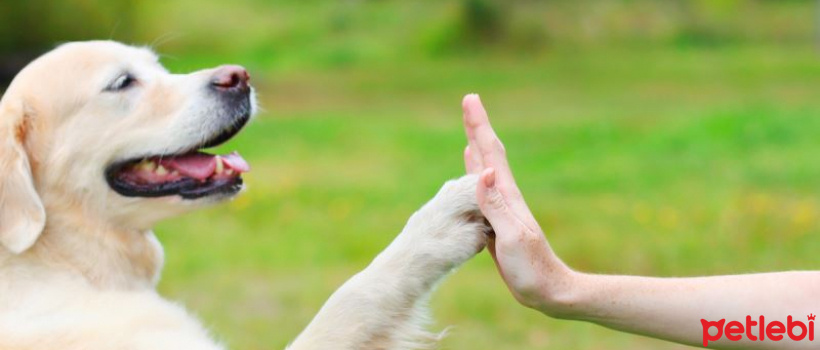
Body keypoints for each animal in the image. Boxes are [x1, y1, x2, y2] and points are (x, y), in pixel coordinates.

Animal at [0, 41, 486, 350]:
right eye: (122, 82)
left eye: (159, 67)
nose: (239, 77)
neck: (60, 261)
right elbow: (354, 297)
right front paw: (438, 225)